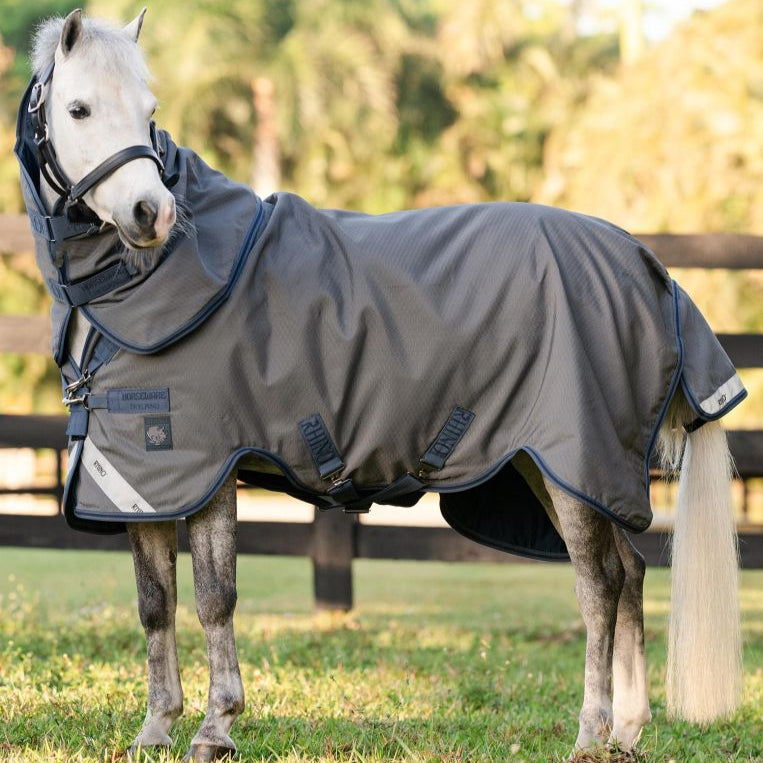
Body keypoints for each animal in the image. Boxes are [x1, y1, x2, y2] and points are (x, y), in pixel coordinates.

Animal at [19, 9, 743, 762]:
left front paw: (216, 727)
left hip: (574, 461)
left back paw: (589, 730)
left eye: (149, 111)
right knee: (628, 573)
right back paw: (626, 731)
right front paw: (156, 726)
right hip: (556, 467)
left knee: (597, 586)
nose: (149, 214)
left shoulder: (206, 470)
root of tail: (645, 265)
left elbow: (214, 597)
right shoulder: (141, 479)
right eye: (79, 108)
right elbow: (154, 602)